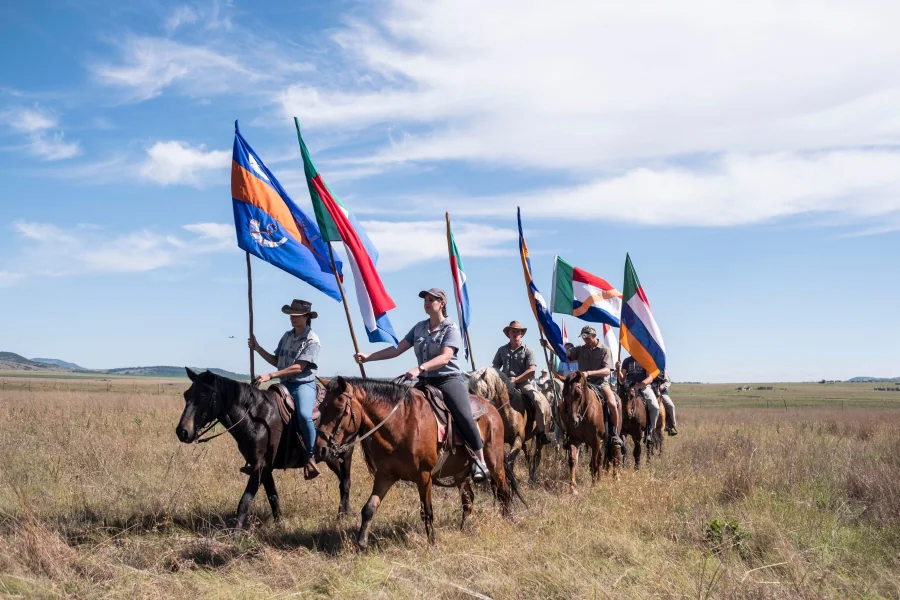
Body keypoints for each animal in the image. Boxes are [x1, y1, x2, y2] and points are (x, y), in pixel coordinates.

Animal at [174, 366, 354, 528]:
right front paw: (280, 524)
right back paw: (346, 512)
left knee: (345, 482)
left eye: (204, 396)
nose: (182, 432)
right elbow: (272, 496)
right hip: (330, 457)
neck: (256, 417)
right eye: (186, 395)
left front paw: (235, 534)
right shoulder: (264, 467)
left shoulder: (260, 467)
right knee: (342, 481)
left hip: (344, 454)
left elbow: (245, 501)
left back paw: (342, 516)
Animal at [314, 378, 520, 552]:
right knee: (468, 499)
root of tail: (492, 408)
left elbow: (427, 512)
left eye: (339, 408)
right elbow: (369, 508)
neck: (402, 423)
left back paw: (508, 521)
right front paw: (361, 543)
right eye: (321, 407)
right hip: (460, 472)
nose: (320, 450)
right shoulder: (385, 475)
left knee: (504, 492)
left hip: (495, 463)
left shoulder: (424, 476)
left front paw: (432, 543)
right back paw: (463, 528)